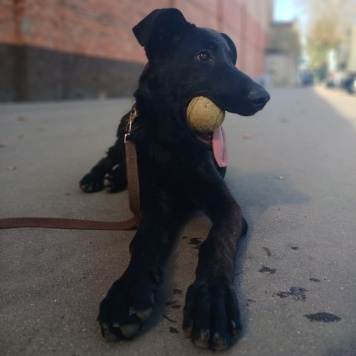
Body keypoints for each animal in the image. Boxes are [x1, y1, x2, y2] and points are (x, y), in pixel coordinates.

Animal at [80, 7, 270, 350]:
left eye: (231, 59)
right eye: (203, 56)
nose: (263, 97)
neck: (172, 144)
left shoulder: (227, 204)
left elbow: (217, 242)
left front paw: (212, 299)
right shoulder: (155, 202)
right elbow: (144, 242)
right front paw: (128, 292)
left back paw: (116, 180)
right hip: (125, 134)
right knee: (110, 155)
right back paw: (99, 177)